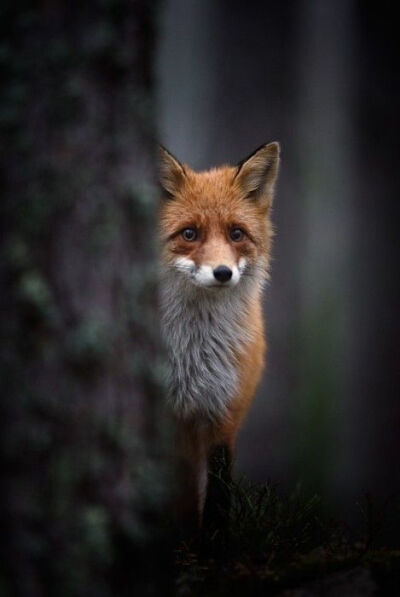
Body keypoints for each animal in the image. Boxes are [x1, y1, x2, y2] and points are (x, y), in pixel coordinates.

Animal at [158, 142, 280, 528]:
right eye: (189, 234)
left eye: (236, 234)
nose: (223, 272)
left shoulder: (224, 412)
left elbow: (219, 494)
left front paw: (214, 540)